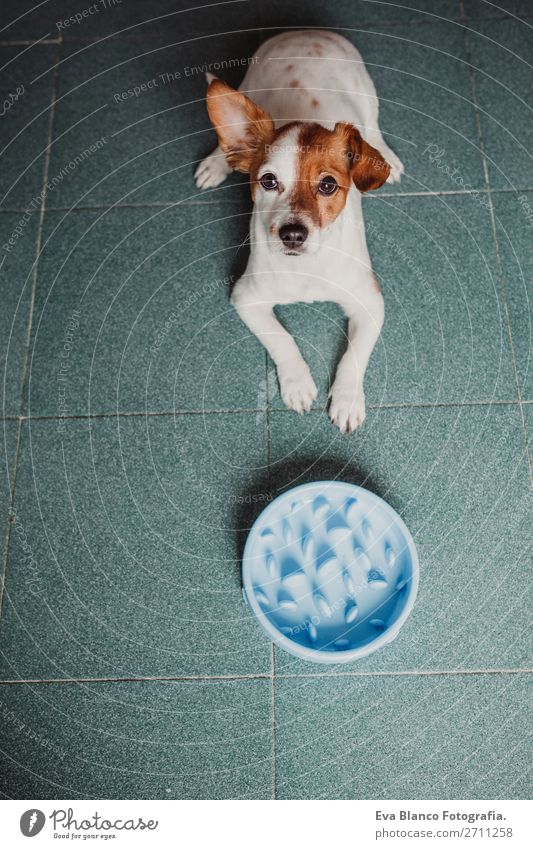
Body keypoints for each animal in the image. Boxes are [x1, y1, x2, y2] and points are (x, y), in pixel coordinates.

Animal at [195, 30, 404, 434]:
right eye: (268, 181)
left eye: (328, 185)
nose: (292, 234)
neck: (305, 268)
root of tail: (305, 32)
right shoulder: (246, 298)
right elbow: (280, 339)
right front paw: (297, 384)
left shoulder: (370, 302)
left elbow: (355, 355)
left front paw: (347, 400)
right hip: (248, 84)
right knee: (226, 146)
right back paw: (216, 163)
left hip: (367, 94)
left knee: (372, 129)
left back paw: (387, 155)